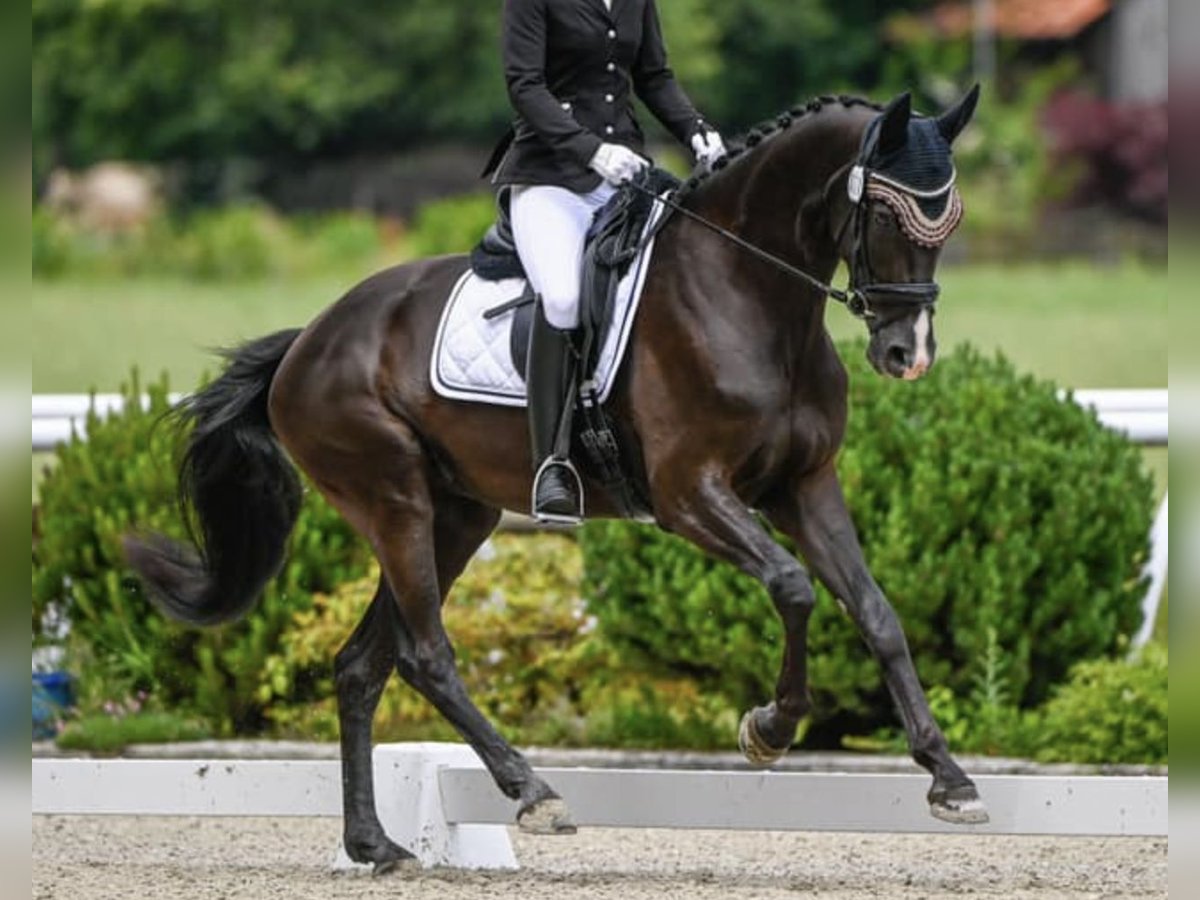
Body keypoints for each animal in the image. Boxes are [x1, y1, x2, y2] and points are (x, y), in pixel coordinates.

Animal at [124, 88, 984, 868]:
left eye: (948, 222)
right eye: (887, 218)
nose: (907, 355)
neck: (746, 289)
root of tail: (309, 340)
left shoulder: (804, 487)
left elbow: (876, 613)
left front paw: (949, 778)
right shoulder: (689, 495)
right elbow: (793, 587)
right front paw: (769, 729)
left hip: (456, 515)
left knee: (363, 664)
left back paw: (377, 845)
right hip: (394, 501)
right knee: (425, 655)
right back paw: (532, 793)